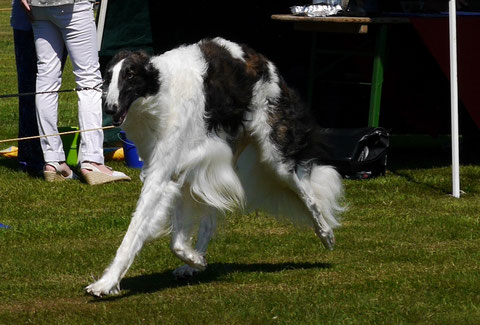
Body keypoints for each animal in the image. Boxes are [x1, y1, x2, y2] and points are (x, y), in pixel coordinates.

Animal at [84, 38, 344, 296]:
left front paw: (105, 283)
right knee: (208, 220)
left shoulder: (161, 176)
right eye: (108, 77)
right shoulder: (176, 174)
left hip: (275, 157)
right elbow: (176, 242)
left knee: (309, 197)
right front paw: (195, 260)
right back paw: (195, 263)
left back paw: (327, 235)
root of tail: (259, 58)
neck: (160, 93)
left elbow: (134, 232)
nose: (109, 108)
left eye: (129, 75)